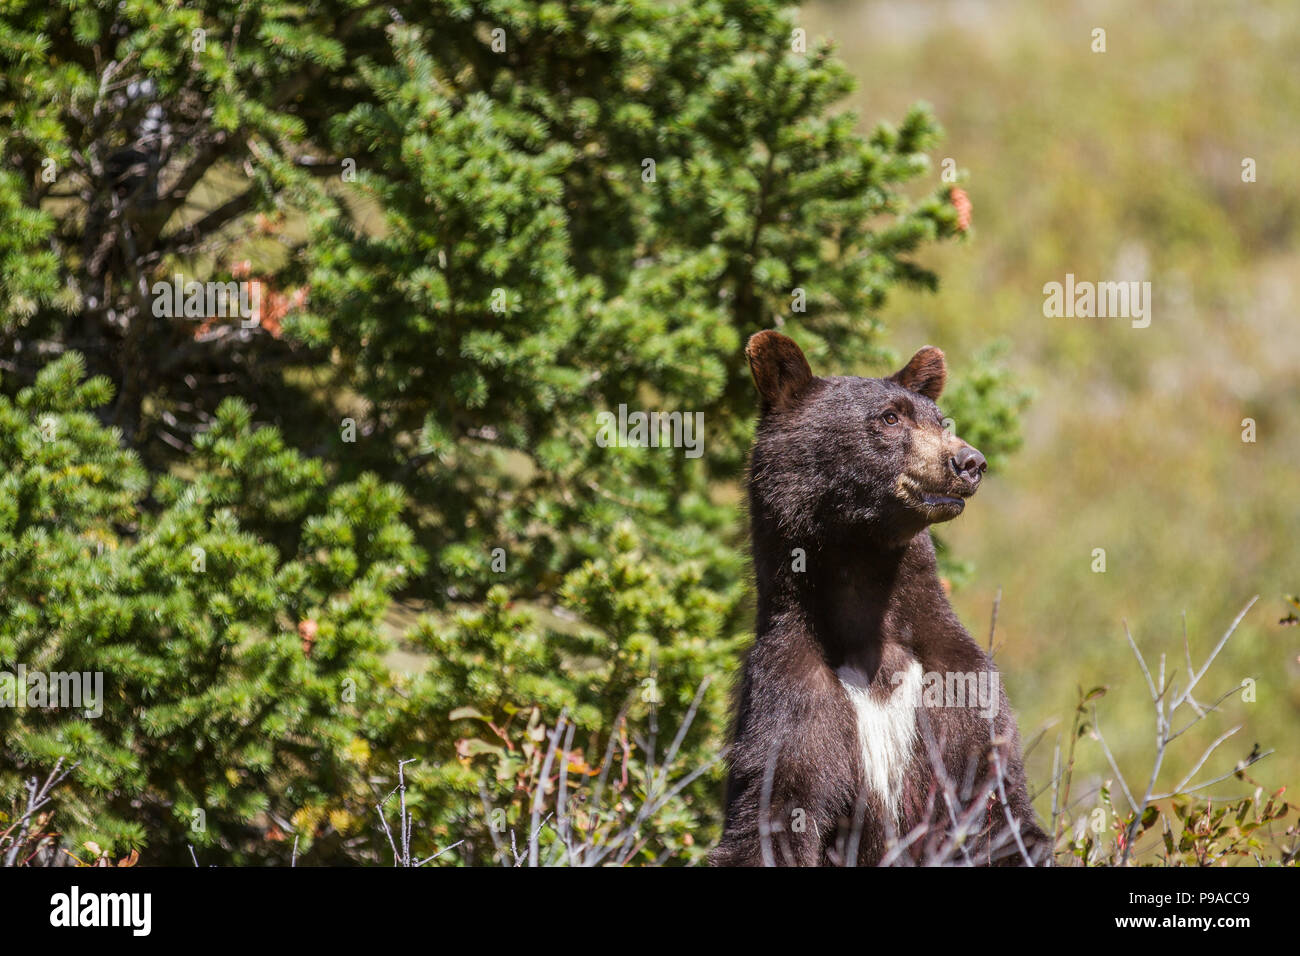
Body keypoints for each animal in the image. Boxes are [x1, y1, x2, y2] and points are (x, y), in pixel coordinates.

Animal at [710, 330, 1050, 867]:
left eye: (939, 418)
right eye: (890, 417)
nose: (969, 462)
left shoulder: (958, 684)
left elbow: (998, 806)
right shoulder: (792, 695)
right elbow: (774, 815)